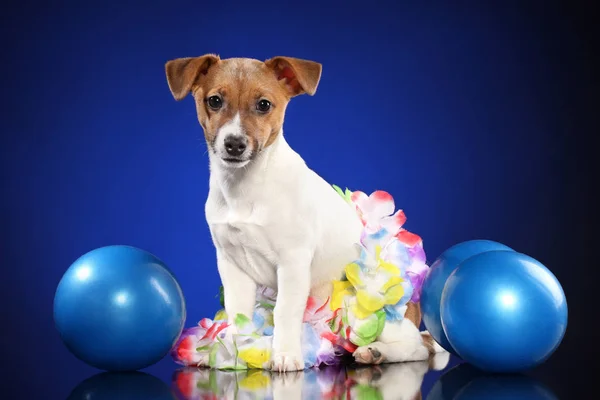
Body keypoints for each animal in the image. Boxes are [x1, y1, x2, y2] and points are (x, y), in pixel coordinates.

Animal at [164, 54, 446, 372]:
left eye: (264, 105)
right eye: (214, 101)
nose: (234, 144)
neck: (247, 187)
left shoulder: (293, 263)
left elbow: (285, 311)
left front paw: (286, 355)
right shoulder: (232, 266)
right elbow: (238, 314)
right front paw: (233, 351)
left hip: (371, 307)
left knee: (416, 347)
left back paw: (375, 352)